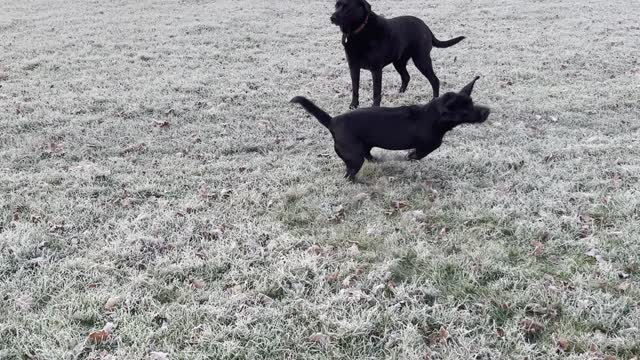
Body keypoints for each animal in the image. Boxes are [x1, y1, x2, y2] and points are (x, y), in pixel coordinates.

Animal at [290, 77, 490, 181]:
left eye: (472, 103)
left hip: (363, 147)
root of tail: (332, 121)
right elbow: (417, 154)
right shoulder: (429, 145)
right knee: (349, 173)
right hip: (354, 157)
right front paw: (410, 156)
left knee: (366, 157)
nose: (487, 111)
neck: (433, 116)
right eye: (465, 110)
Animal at [332, 0, 462, 108]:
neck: (359, 31)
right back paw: (400, 93)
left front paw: (374, 108)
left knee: (435, 80)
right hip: (399, 62)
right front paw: (353, 105)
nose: (332, 17)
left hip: (421, 60)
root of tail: (426, 27)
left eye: (347, 7)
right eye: (336, 5)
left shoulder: (376, 69)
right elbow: (355, 88)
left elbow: (376, 91)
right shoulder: (353, 67)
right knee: (406, 77)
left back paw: (434, 100)